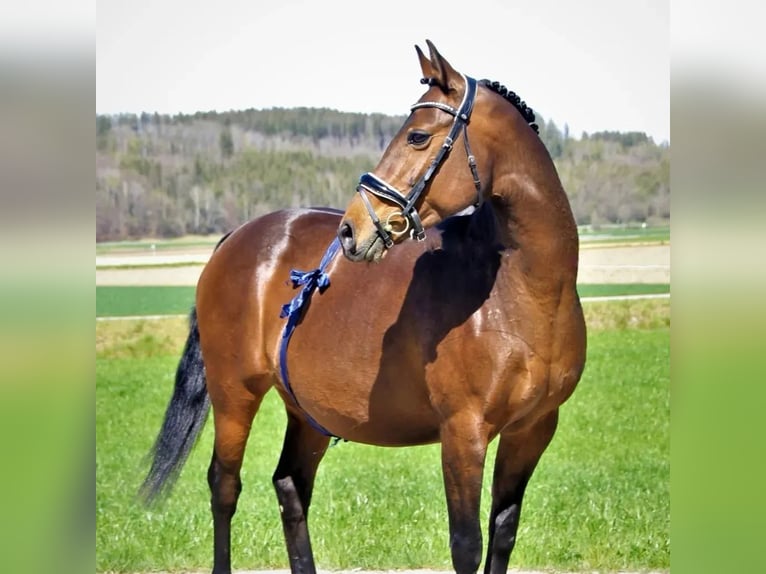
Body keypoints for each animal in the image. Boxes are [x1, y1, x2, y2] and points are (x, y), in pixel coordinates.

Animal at [142, 41, 588, 574]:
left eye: (417, 136)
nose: (353, 228)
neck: (523, 293)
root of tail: (237, 238)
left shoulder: (532, 430)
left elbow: (503, 533)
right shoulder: (464, 432)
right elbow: (467, 544)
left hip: (308, 411)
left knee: (290, 485)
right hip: (235, 393)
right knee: (224, 487)